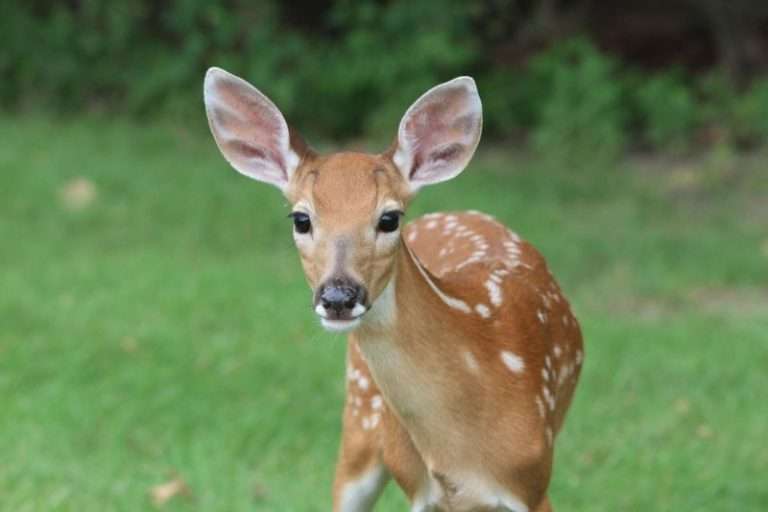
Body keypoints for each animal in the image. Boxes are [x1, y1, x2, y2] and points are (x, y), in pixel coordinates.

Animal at [203, 67, 584, 512]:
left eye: (389, 218)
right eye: (301, 219)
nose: (338, 297)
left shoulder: (532, 482)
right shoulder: (420, 489)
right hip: (360, 418)